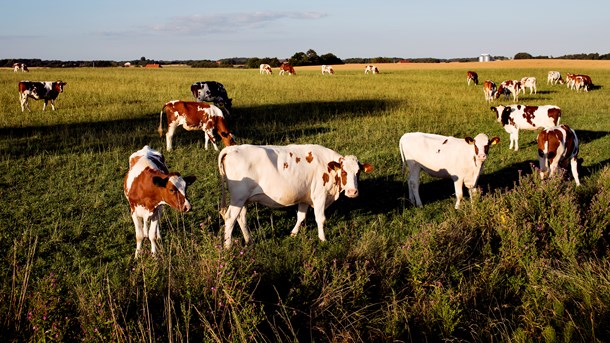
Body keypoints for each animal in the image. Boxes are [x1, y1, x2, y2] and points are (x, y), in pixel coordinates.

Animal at [216, 144, 372, 249]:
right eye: (344, 172)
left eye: (358, 172)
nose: (352, 192)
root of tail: (232, 148)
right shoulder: (319, 195)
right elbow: (320, 219)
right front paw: (323, 239)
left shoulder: (305, 196)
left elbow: (301, 216)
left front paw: (293, 233)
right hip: (238, 198)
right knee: (230, 218)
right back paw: (228, 246)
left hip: (244, 199)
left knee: (241, 218)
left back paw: (249, 240)